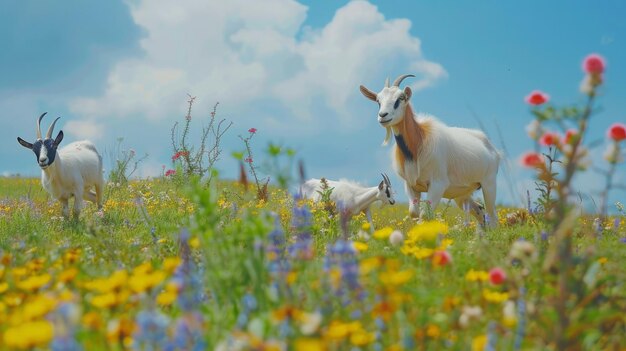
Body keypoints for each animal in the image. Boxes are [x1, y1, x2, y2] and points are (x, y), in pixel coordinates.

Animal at [358, 74, 500, 228]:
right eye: (378, 100)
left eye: (400, 98)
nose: (383, 115)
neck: (418, 142)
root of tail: (492, 147)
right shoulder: (411, 185)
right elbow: (414, 213)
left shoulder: (438, 184)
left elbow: (425, 215)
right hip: (463, 193)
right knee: (479, 210)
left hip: (488, 184)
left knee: (492, 215)